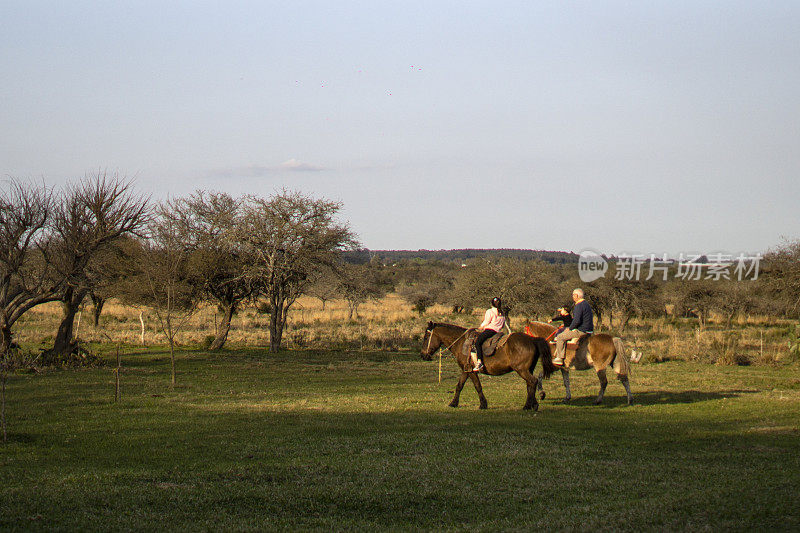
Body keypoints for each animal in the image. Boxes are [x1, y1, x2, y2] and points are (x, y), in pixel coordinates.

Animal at [418, 320, 556, 412]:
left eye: (426, 337)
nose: (423, 355)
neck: (461, 342)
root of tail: (532, 340)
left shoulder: (471, 371)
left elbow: (477, 386)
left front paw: (483, 404)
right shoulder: (466, 370)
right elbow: (459, 386)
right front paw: (453, 403)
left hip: (522, 370)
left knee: (532, 382)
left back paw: (529, 406)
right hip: (528, 370)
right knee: (530, 384)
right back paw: (532, 404)